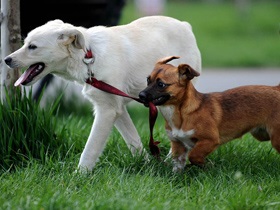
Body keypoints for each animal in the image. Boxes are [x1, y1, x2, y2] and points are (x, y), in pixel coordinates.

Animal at [4, 15, 201, 172]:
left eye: (32, 46)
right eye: (25, 44)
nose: (6, 60)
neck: (88, 56)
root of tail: (185, 25)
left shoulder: (107, 111)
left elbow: (90, 149)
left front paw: (79, 176)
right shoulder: (117, 109)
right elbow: (133, 140)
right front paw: (146, 164)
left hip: (169, 102)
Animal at [139, 56, 280, 172]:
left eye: (161, 84)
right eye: (147, 80)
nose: (141, 95)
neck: (180, 114)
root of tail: (276, 89)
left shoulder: (210, 140)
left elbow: (194, 156)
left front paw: (205, 165)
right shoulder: (178, 146)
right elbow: (178, 166)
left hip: (276, 139)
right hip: (262, 135)